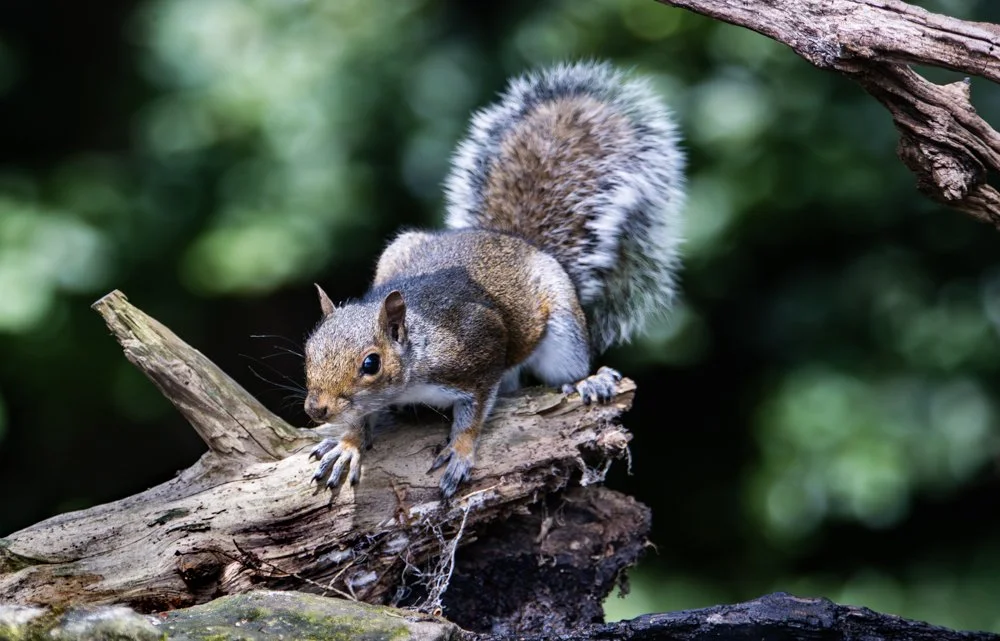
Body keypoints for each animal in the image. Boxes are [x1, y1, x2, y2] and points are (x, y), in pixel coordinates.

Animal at [304, 60, 686, 498]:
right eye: (308, 348)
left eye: (372, 363)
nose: (316, 409)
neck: (416, 358)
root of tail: (514, 241)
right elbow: (359, 417)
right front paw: (347, 442)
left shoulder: (478, 356)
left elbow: (473, 414)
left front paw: (460, 452)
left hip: (564, 326)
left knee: (565, 369)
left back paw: (588, 382)